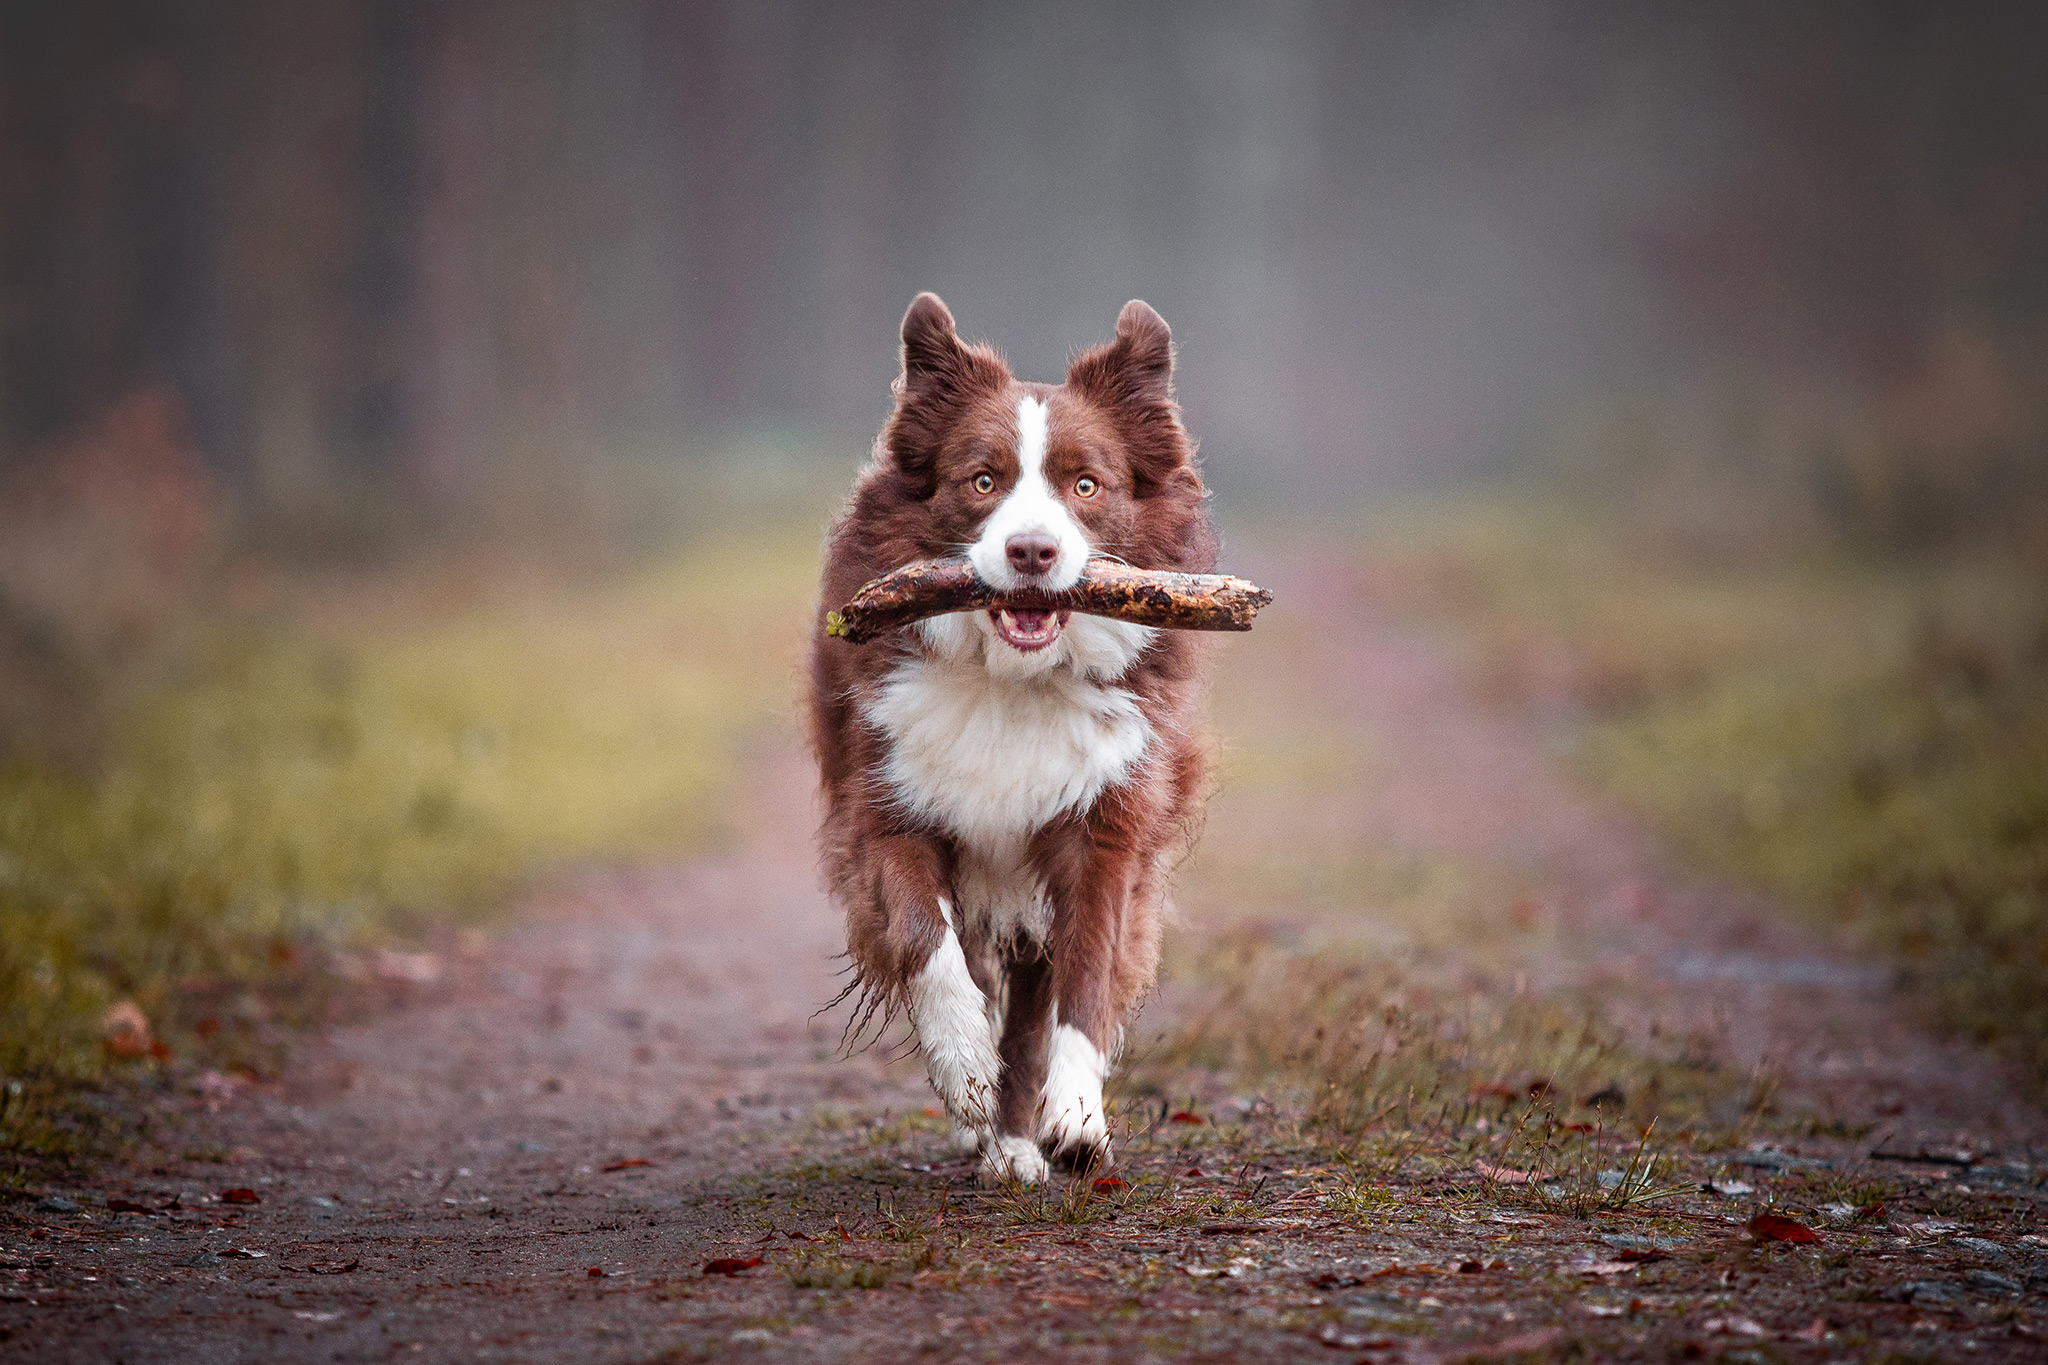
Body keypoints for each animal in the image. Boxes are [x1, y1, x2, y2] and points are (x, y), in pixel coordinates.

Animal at [802, 290, 1212, 1186]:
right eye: (983, 480)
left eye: (1086, 485)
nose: (1032, 551)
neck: (1014, 679)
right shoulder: (888, 800)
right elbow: (926, 942)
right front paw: (962, 1066)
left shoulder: (1102, 821)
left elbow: (1084, 978)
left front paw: (1074, 1115)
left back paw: (1017, 1143)